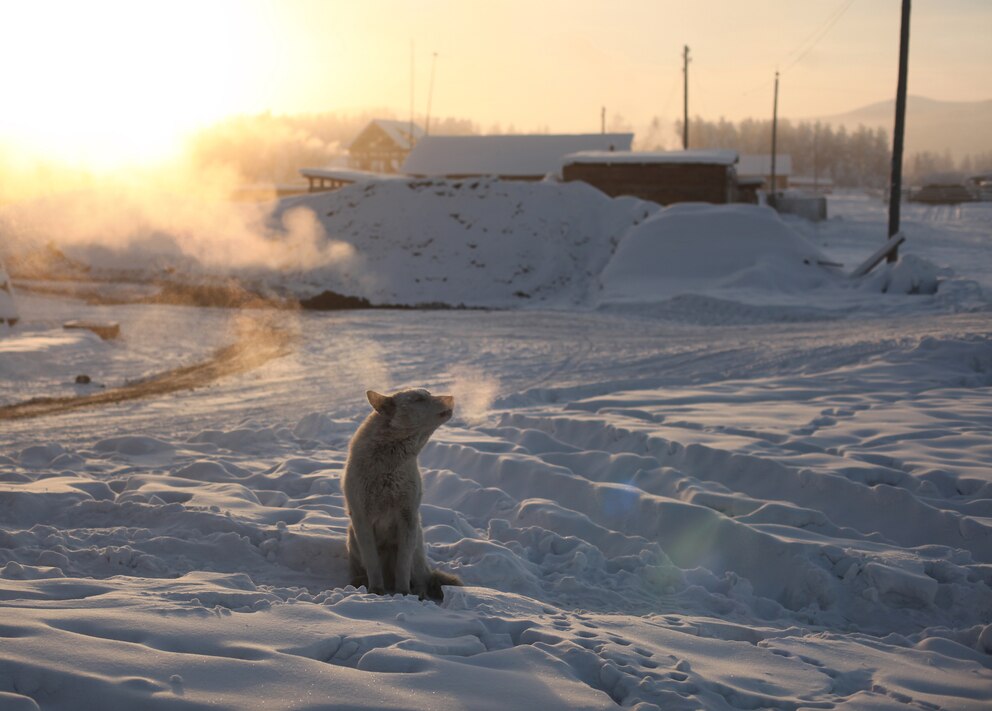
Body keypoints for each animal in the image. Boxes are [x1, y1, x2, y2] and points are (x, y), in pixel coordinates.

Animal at [342, 390, 464, 600]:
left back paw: (419, 593)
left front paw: (403, 594)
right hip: (353, 538)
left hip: (416, 543)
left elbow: (403, 566)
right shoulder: (362, 519)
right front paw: (376, 592)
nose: (452, 396)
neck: (389, 465)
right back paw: (360, 582)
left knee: (421, 579)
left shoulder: (407, 517)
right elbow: (372, 562)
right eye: (420, 398)